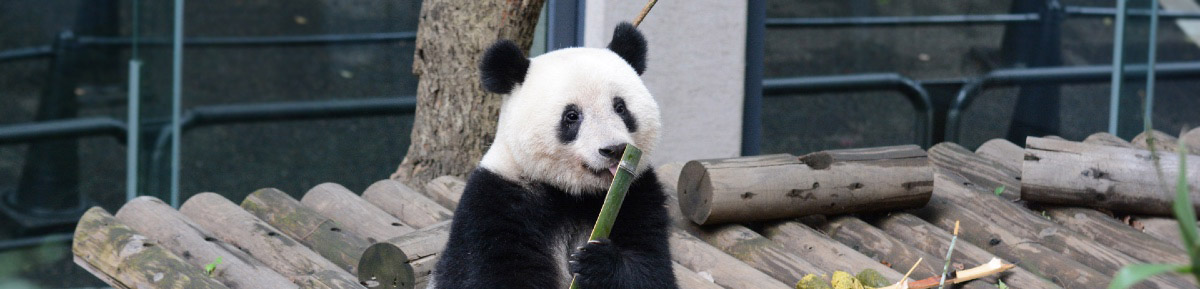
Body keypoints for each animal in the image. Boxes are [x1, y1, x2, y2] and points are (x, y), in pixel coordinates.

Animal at [429, 22, 676, 289]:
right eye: (572, 116)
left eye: (620, 107)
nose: (614, 149)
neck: (575, 194)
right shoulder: (496, 203)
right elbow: (497, 273)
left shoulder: (638, 195)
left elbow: (653, 271)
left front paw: (597, 262)